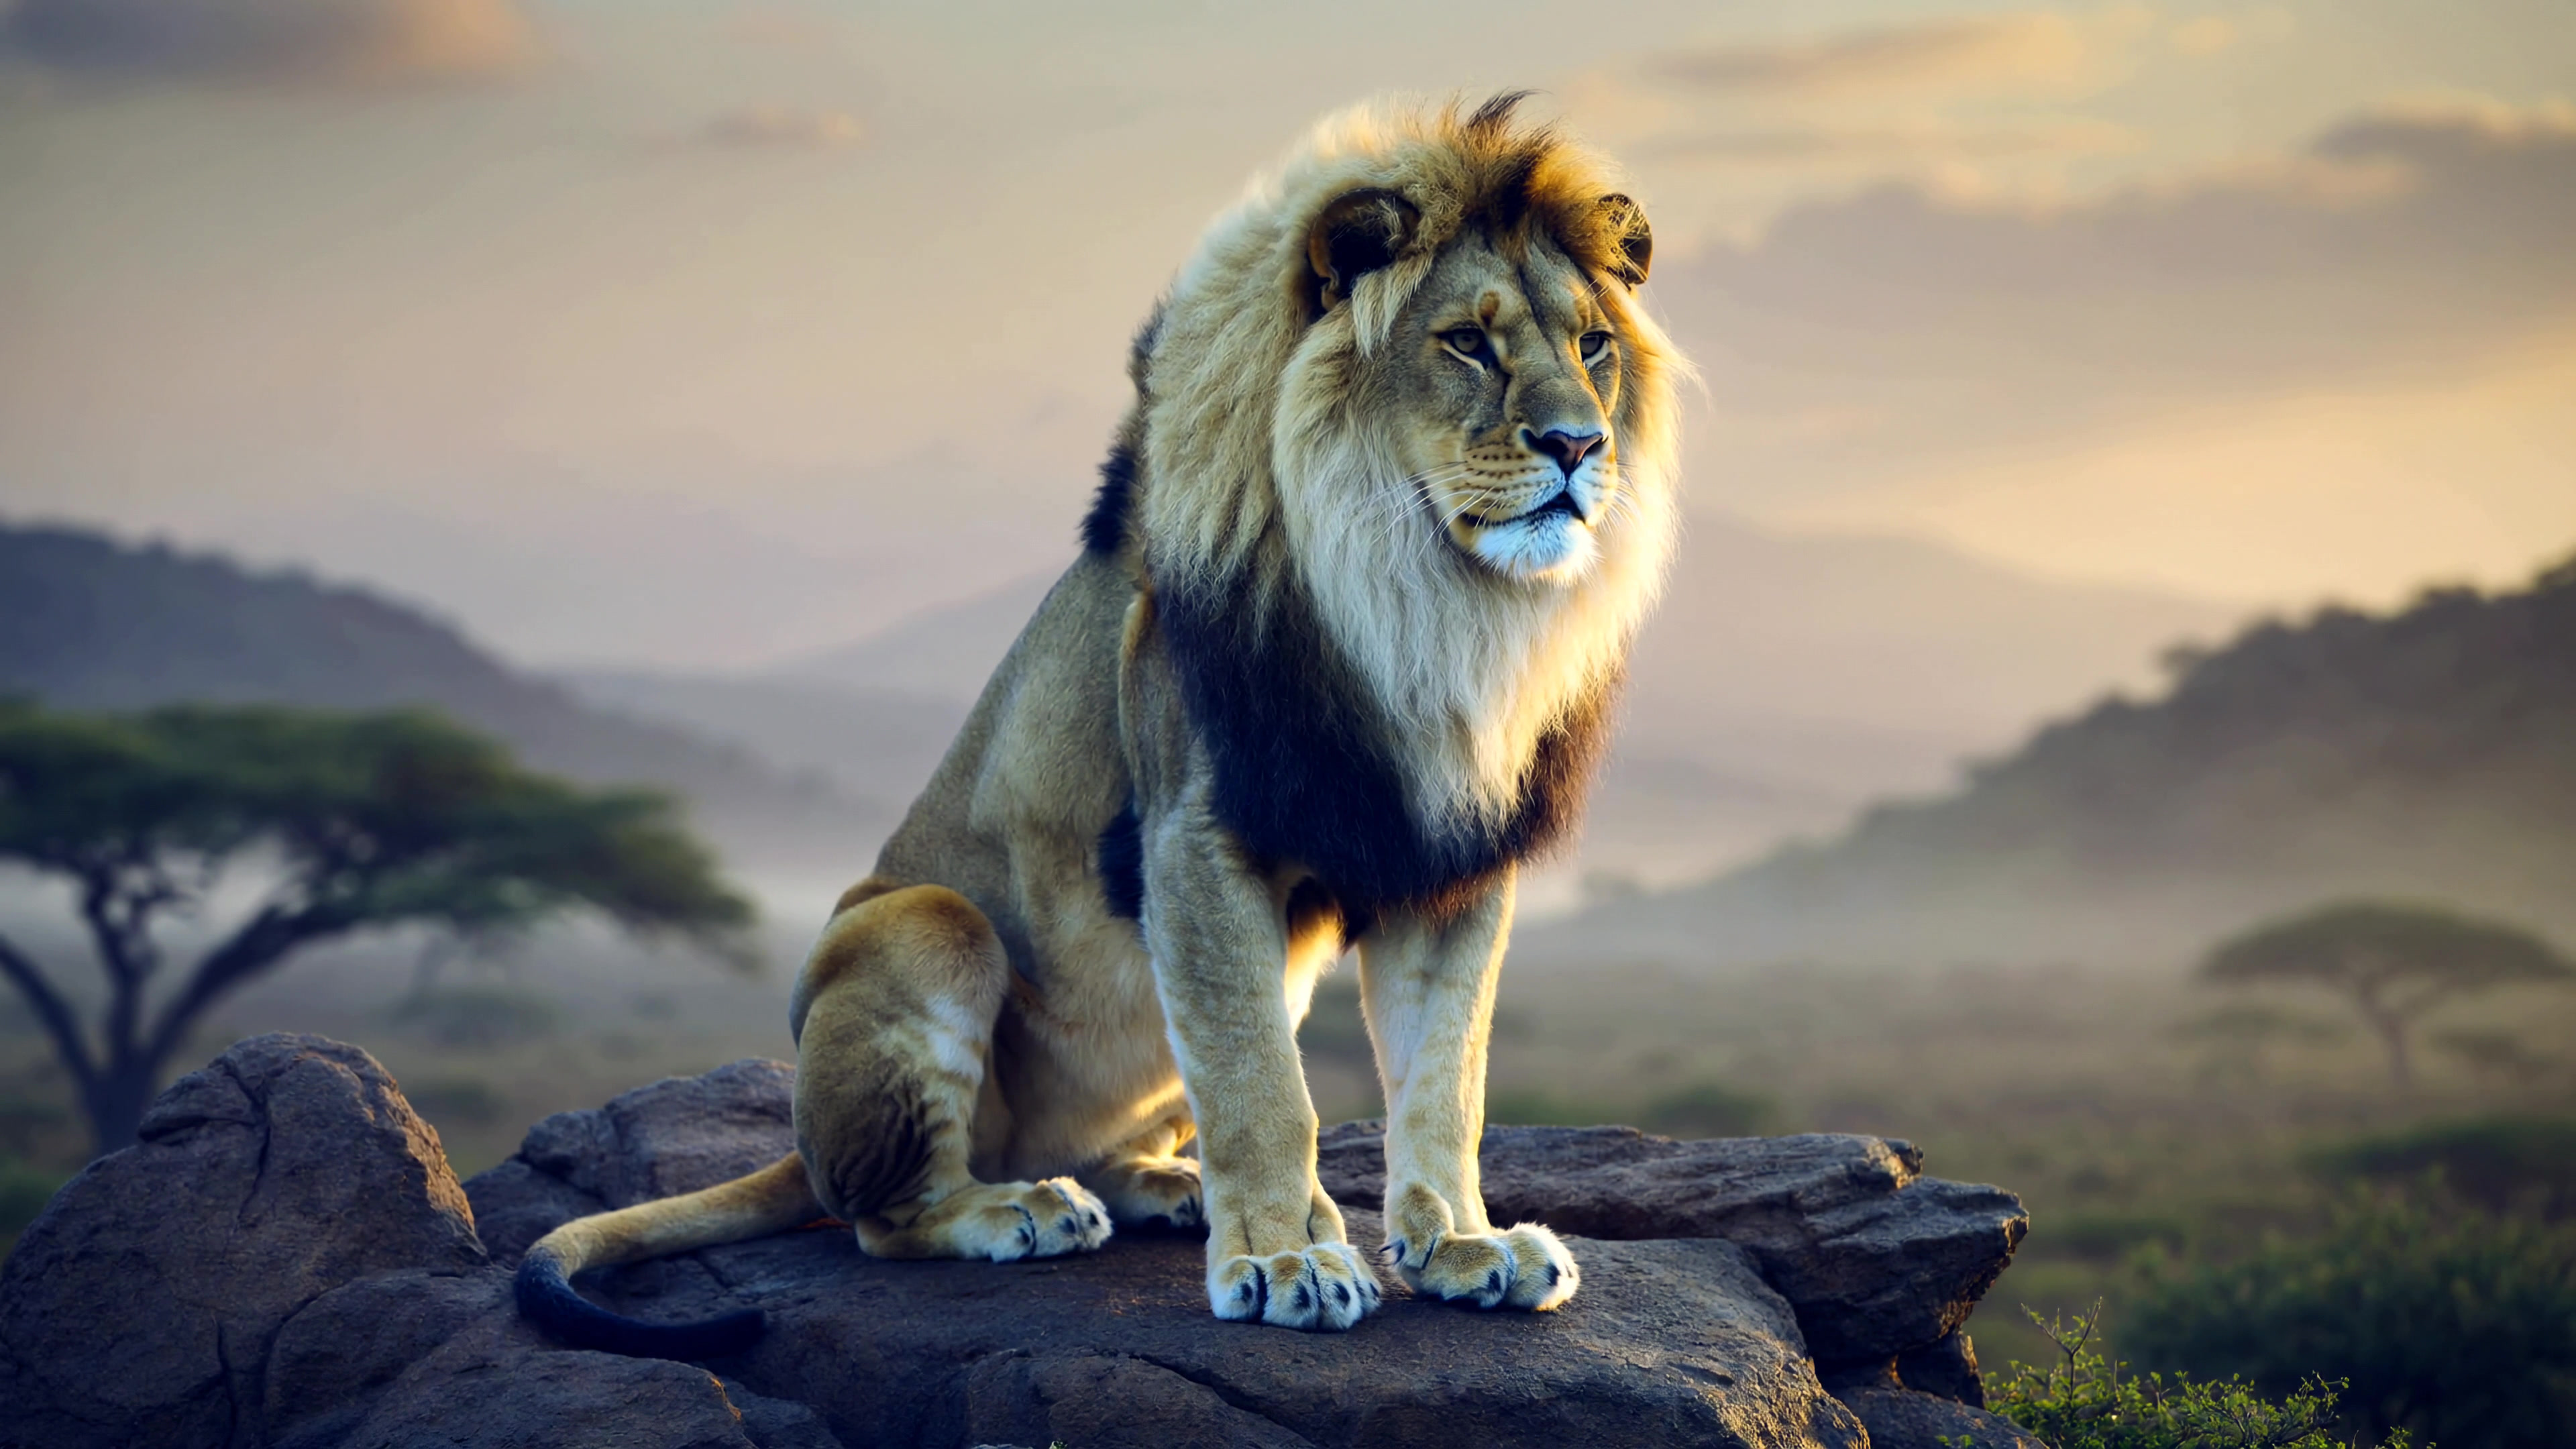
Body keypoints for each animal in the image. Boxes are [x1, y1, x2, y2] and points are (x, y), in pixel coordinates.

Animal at [514, 91, 1683, 1353]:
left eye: (1593, 348)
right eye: (1467, 341)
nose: (1579, 446)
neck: (1426, 601)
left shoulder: (1450, 853)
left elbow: (1445, 1078)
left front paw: (1463, 1245)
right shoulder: (1194, 837)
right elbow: (1263, 1088)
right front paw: (1282, 1262)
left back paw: (1164, 1187)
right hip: (924, 927)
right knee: (880, 1214)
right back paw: (1022, 1209)